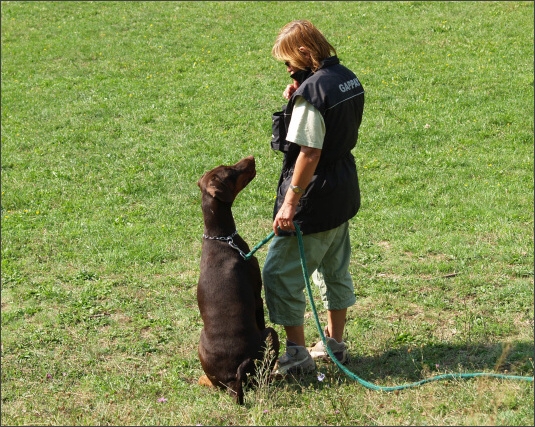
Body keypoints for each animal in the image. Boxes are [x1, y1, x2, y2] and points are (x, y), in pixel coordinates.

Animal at [197, 156, 280, 404]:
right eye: (230, 171)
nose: (250, 158)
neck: (221, 238)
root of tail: (234, 379)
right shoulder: (257, 295)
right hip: (270, 335)